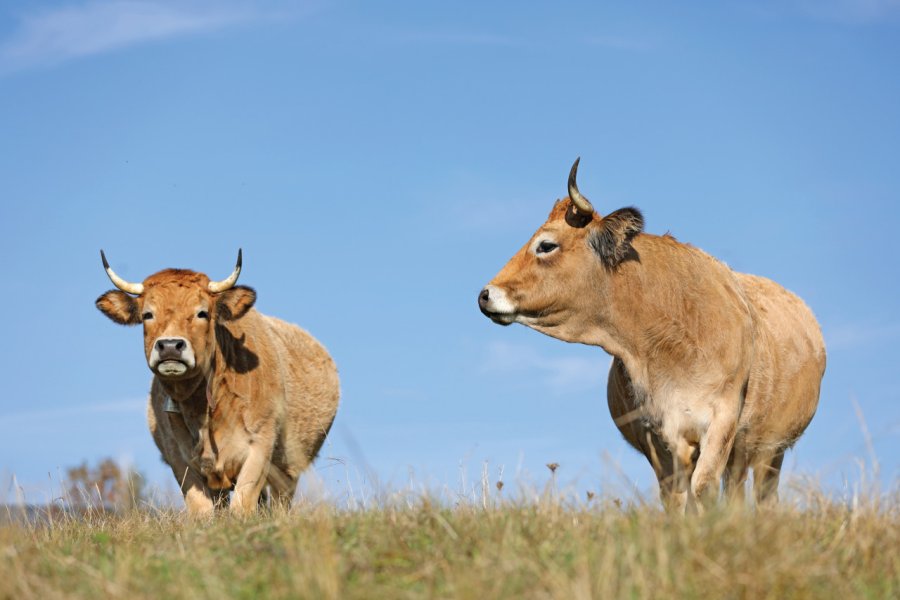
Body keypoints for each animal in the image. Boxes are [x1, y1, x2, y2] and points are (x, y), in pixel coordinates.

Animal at [96, 248, 340, 516]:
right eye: (148, 314)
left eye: (202, 312)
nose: (170, 346)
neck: (205, 412)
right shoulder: (179, 458)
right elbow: (201, 510)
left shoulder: (261, 445)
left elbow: (242, 504)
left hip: (288, 470)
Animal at [482, 158, 828, 510]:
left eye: (546, 245)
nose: (485, 294)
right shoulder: (657, 436)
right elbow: (677, 497)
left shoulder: (723, 419)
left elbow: (703, 487)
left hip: (768, 449)